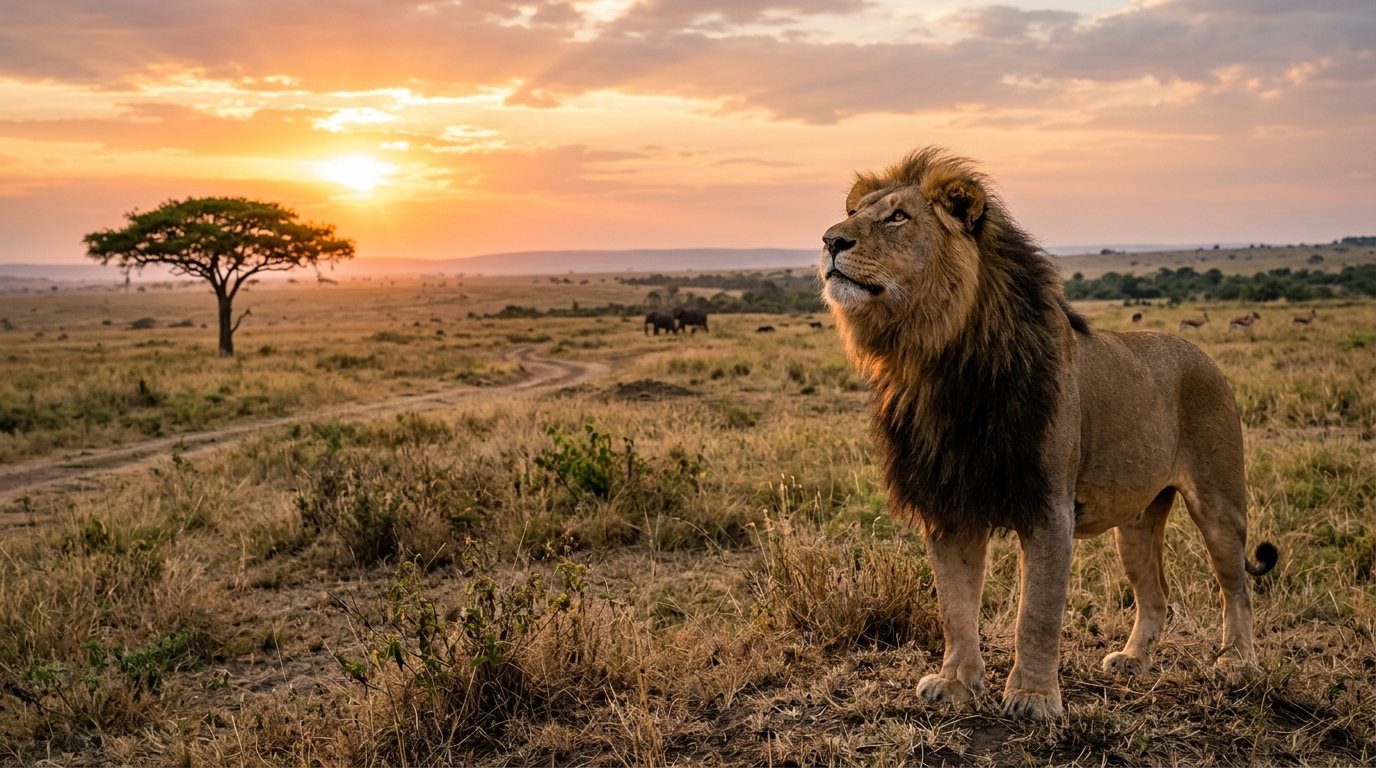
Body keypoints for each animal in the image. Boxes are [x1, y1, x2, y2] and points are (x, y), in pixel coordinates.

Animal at [819, 147, 1278, 721]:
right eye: (855, 213)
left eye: (897, 217)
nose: (830, 240)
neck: (937, 360)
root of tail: (1201, 354)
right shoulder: (949, 507)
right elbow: (954, 607)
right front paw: (956, 683)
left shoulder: (1048, 508)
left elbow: (1036, 613)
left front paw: (1033, 698)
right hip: (1136, 521)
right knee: (1157, 594)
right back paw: (1132, 660)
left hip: (1218, 501)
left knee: (1235, 587)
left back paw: (1237, 663)